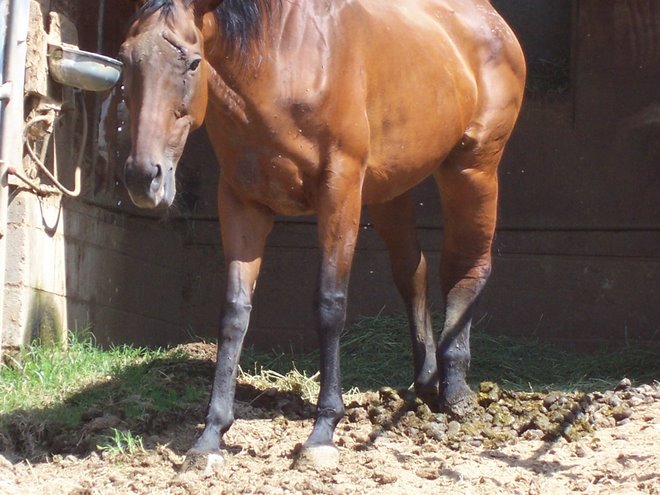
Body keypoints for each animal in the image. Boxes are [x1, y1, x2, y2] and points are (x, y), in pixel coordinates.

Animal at [120, 0, 525, 469]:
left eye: (192, 62)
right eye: (126, 59)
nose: (142, 177)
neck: (280, 65)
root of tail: (490, 20)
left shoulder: (340, 191)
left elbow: (330, 305)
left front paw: (323, 430)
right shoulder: (241, 203)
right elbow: (234, 313)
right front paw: (210, 436)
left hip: (472, 168)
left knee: (466, 267)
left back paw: (456, 389)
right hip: (391, 189)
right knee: (413, 270)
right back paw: (425, 382)